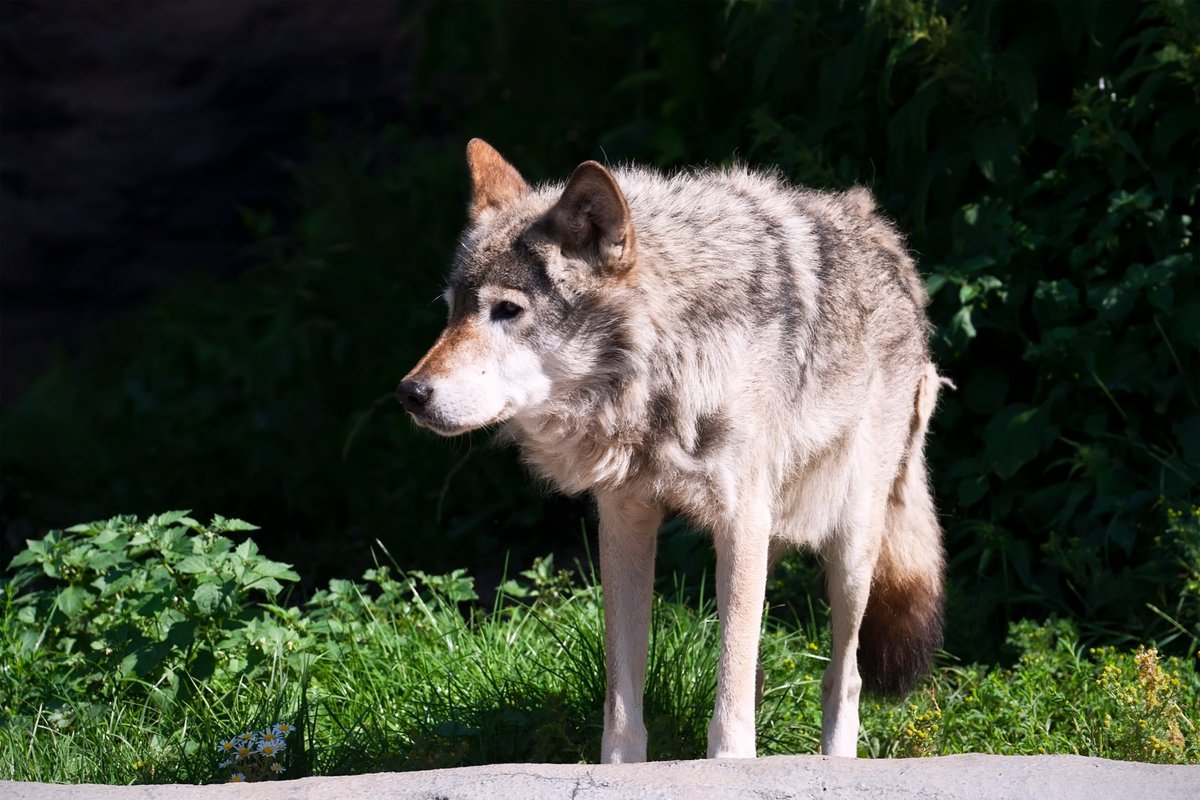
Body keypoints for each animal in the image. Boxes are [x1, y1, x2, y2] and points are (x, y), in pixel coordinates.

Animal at [396, 137, 945, 762]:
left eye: (507, 311)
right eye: (452, 310)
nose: (410, 393)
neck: (668, 362)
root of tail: (883, 234)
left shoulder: (740, 520)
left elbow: (731, 702)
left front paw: (729, 766)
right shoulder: (625, 520)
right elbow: (624, 693)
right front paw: (621, 767)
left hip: (849, 544)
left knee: (842, 675)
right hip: (774, 536)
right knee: (756, 667)